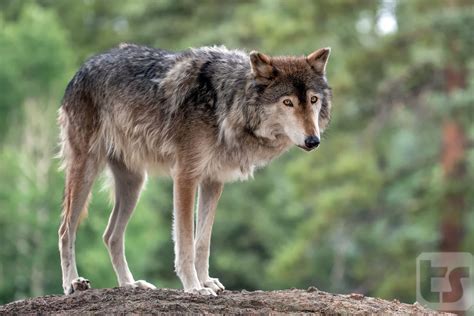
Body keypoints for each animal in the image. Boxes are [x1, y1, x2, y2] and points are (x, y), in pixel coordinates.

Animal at [57, 43, 332, 296]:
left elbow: (203, 242)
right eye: (287, 102)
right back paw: (72, 283)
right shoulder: (185, 177)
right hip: (86, 170)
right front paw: (194, 287)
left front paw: (206, 281)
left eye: (313, 100)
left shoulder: (213, 180)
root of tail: (81, 69)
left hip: (134, 184)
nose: (313, 140)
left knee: (111, 235)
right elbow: (186, 242)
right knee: (65, 230)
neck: (227, 101)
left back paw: (130, 284)